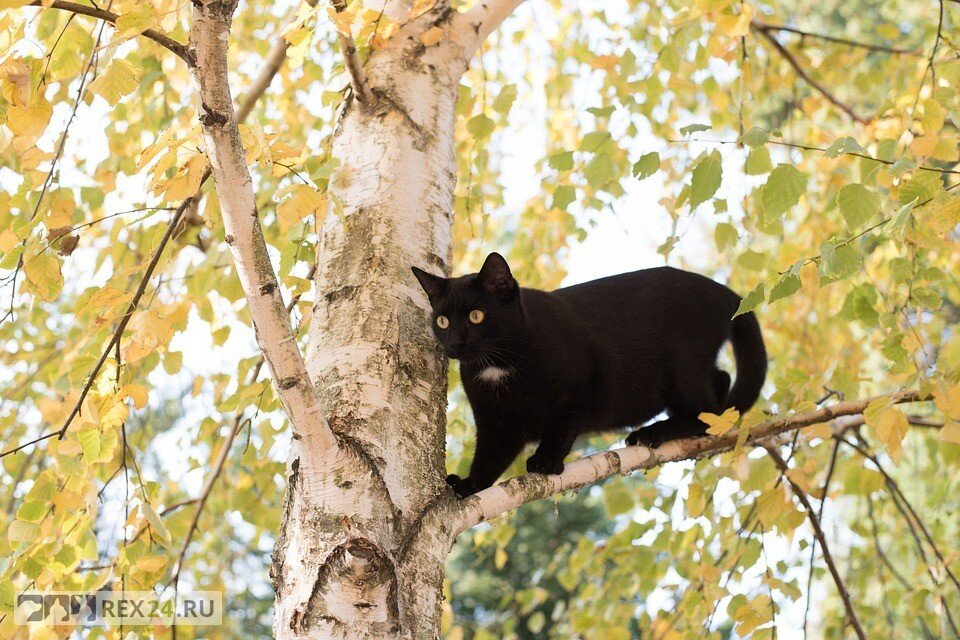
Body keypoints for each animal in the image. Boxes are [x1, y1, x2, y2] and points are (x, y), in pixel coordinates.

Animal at [412, 252, 764, 498]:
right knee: (719, 387)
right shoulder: (495, 422)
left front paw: (545, 461)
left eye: (476, 316)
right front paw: (469, 485)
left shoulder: (577, 393)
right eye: (442, 321)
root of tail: (723, 291)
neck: (498, 366)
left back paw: (652, 432)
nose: (455, 342)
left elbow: (561, 430)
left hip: (682, 364)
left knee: (707, 412)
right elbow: (489, 457)